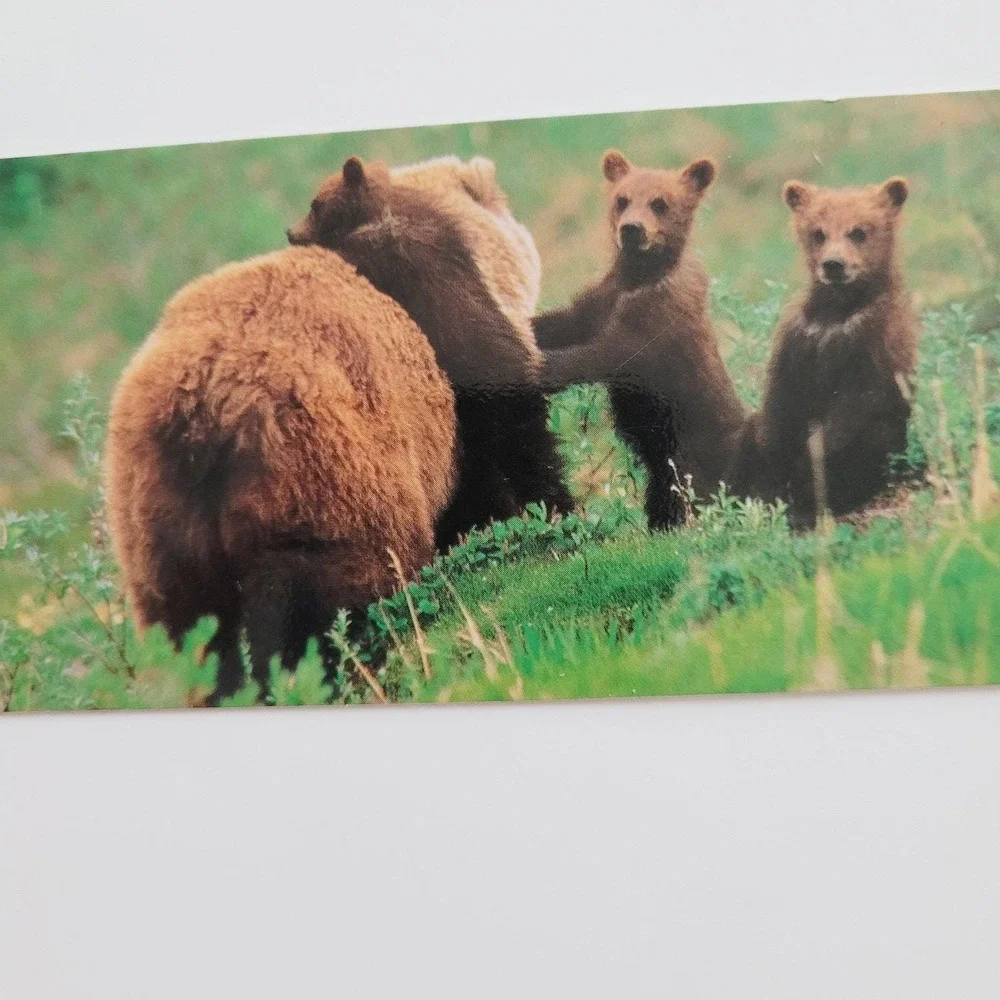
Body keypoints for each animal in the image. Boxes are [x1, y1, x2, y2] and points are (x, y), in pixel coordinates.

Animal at [534, 150, 748, 529]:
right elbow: (566, 322)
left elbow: (602, 355)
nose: (632, 230)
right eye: (622, 199)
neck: (637, 280)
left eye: (660, 203)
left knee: (692, 496)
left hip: (691, 450)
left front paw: (538, 365)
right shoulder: (600, 302)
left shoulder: (654, 327)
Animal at [753, 177, 918, 528]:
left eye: (858, 231)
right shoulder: (798, 338)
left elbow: (856, 406)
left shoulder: (873, 343)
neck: (837, 312)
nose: (834, 265)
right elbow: (778, 407)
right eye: (819, 232)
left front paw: (807, 476)